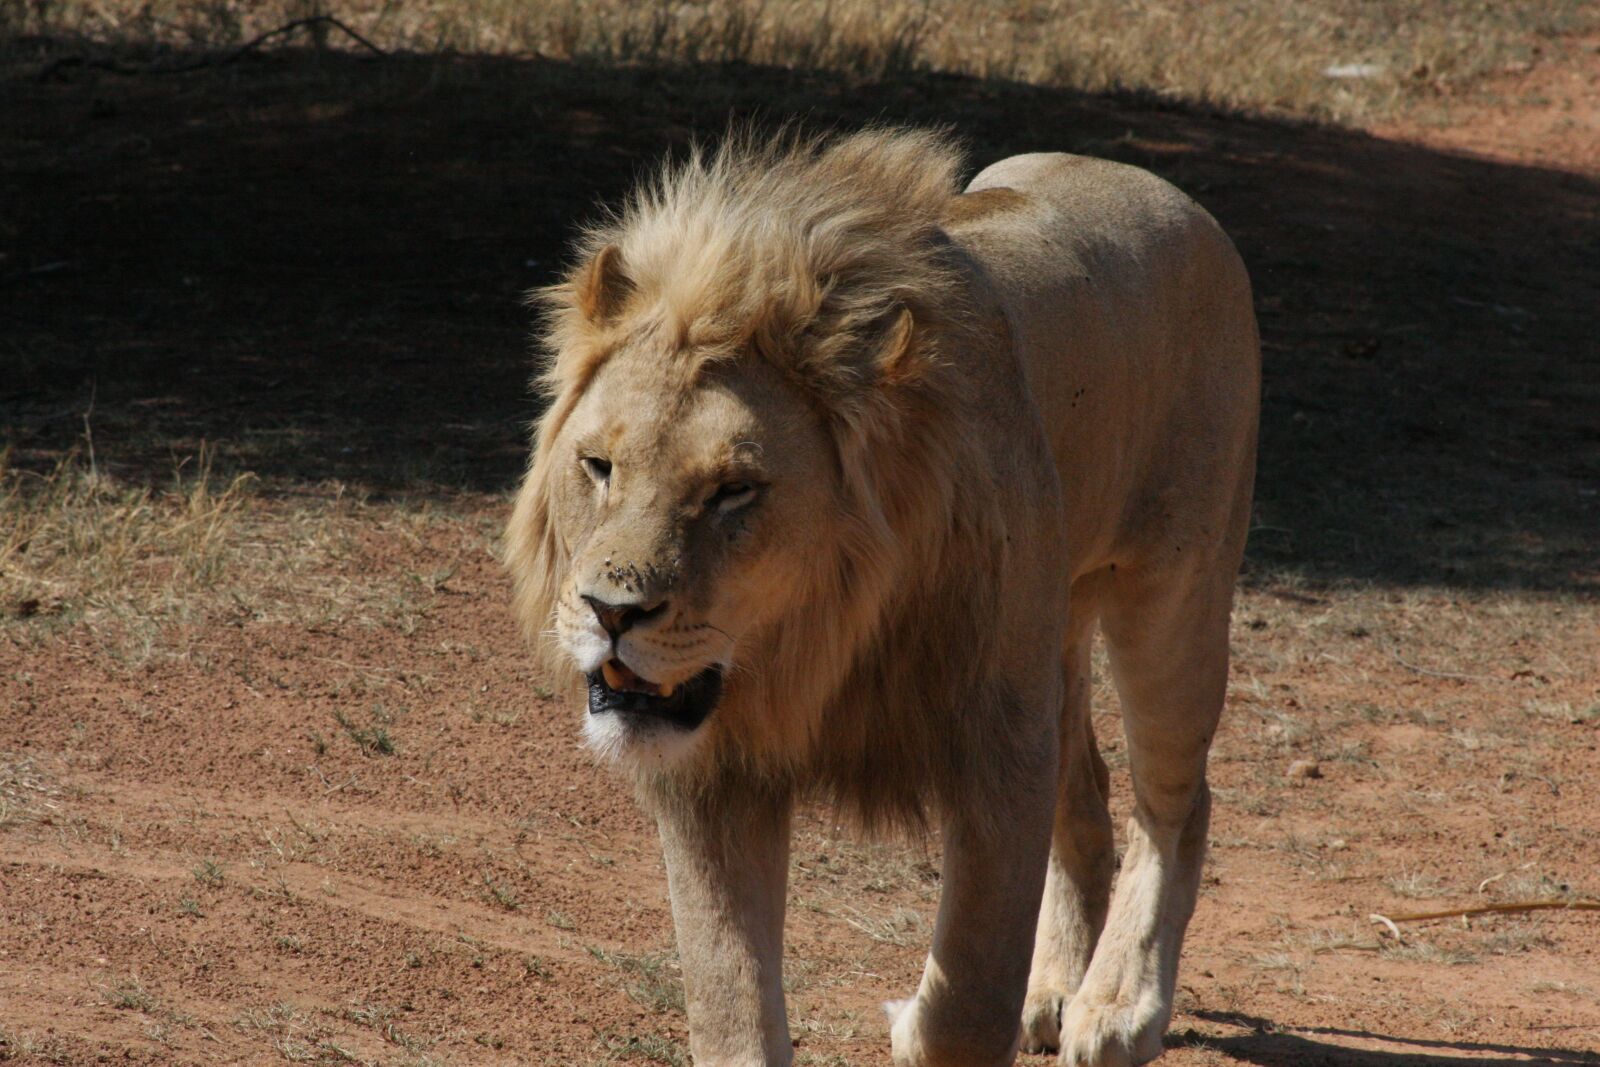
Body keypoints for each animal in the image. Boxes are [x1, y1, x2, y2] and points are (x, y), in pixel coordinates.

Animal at [506, 127, 1258, 1067]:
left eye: (734, 491)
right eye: (599, 465)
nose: (610, 613)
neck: (816, 639)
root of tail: (1162, 190)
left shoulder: (996, 741)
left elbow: (968, 994)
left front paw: (933, 1018)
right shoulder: (713, 768)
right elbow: (728, 996)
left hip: (1172, 602)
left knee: (1175, 802)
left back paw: (1116, 1003)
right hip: (1057, 631)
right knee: (1085, 786)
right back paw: (1052, 987)